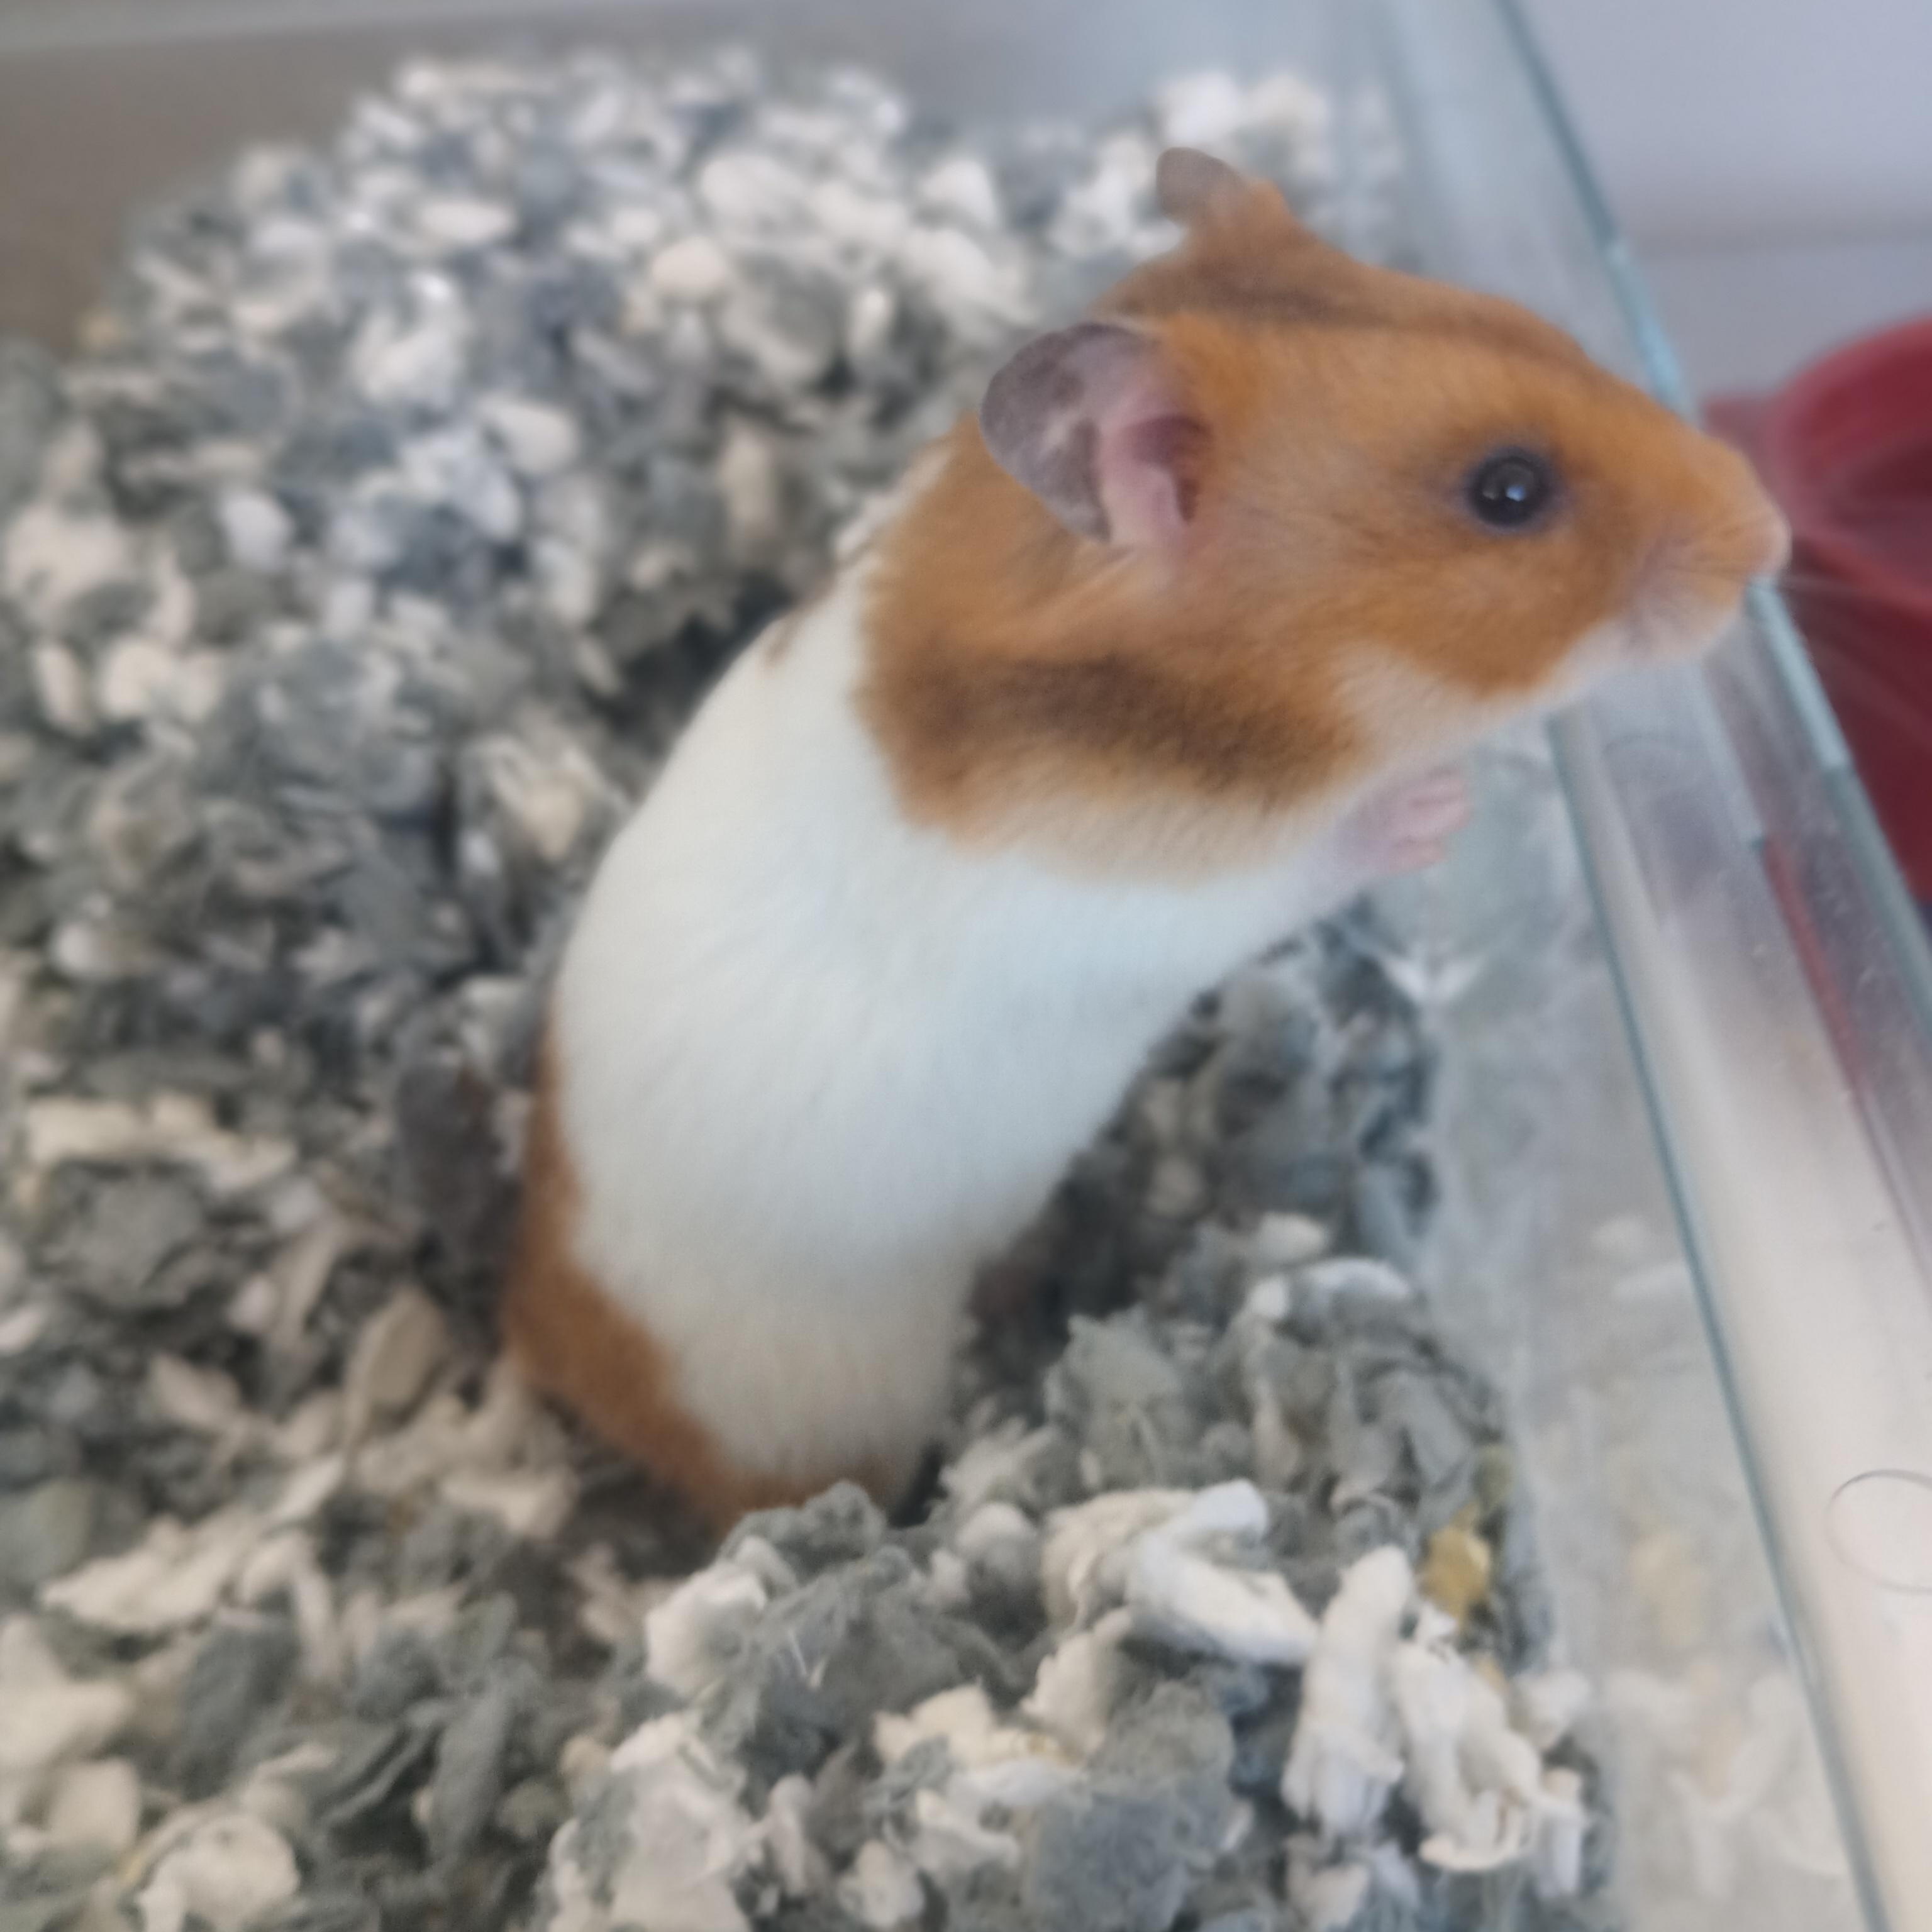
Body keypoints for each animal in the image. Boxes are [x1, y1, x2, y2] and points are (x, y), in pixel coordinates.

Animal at [503, 148, 1786, 1527]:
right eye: (1507, 492)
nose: (1772, 537)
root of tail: (540, 1339)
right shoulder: (1163, 895)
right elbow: (1324, 852)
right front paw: (1441, 805)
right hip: (821, 1394)